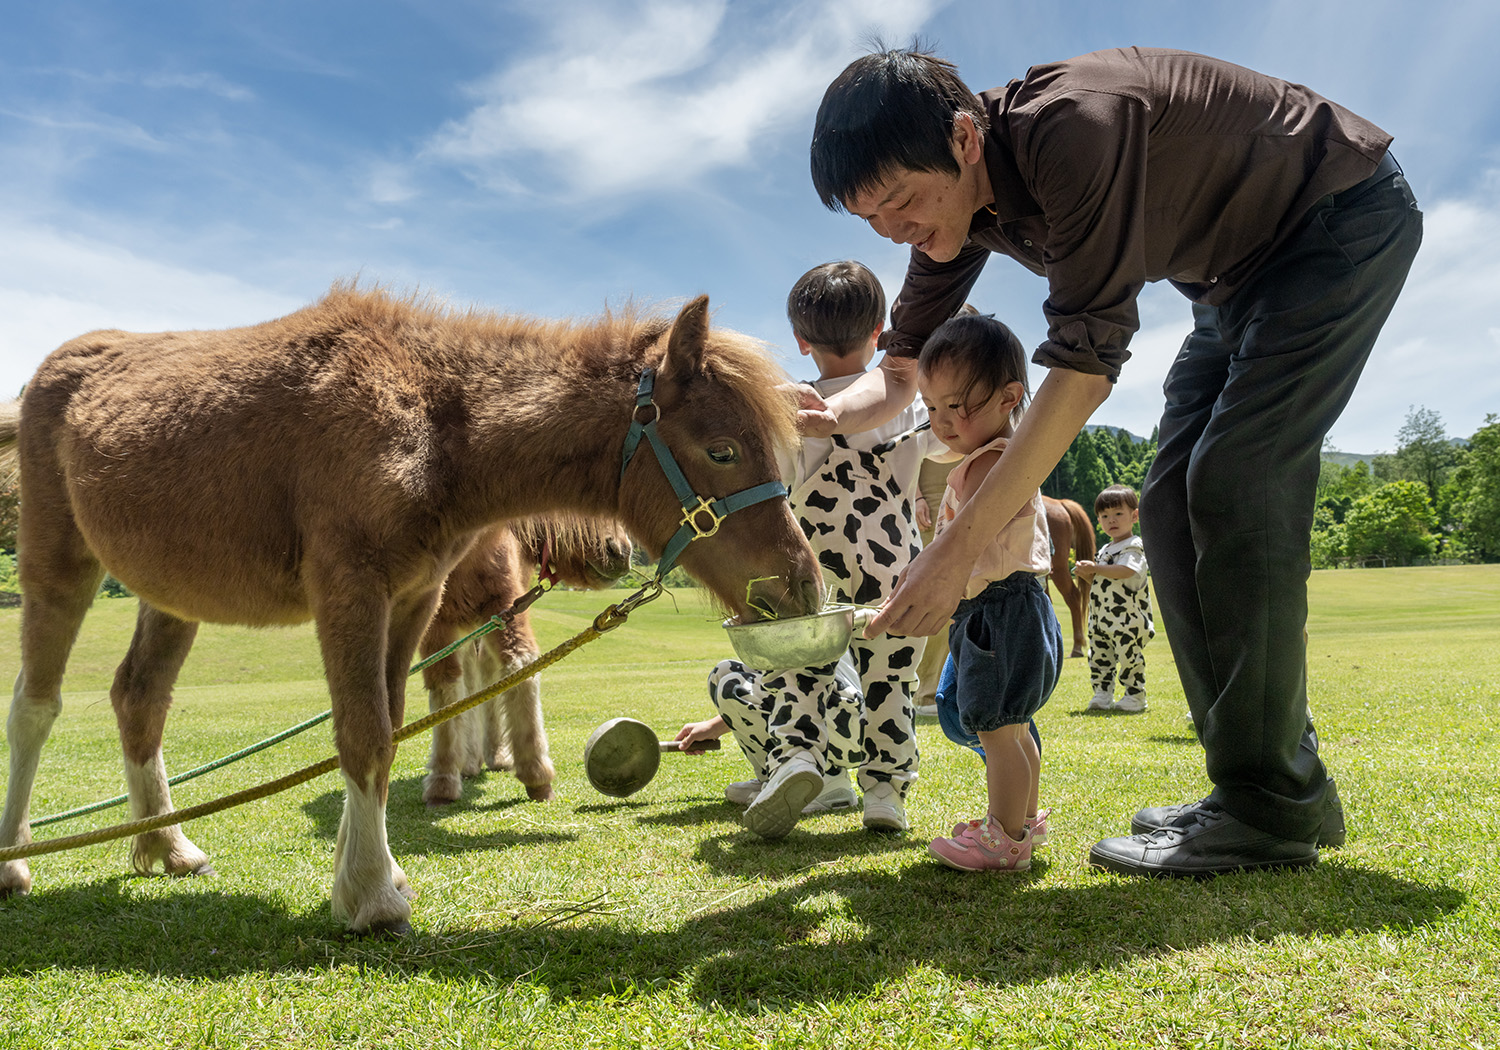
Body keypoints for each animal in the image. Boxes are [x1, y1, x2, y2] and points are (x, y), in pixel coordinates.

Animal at [420, 516, 630, 804]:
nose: (621, 552)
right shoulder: (435, 624)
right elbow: (445, 690)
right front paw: (443, 780)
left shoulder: (504, 604)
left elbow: (520, 667)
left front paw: (537, 775)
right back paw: (470, 760)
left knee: (486, 672)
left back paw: (494, 755)